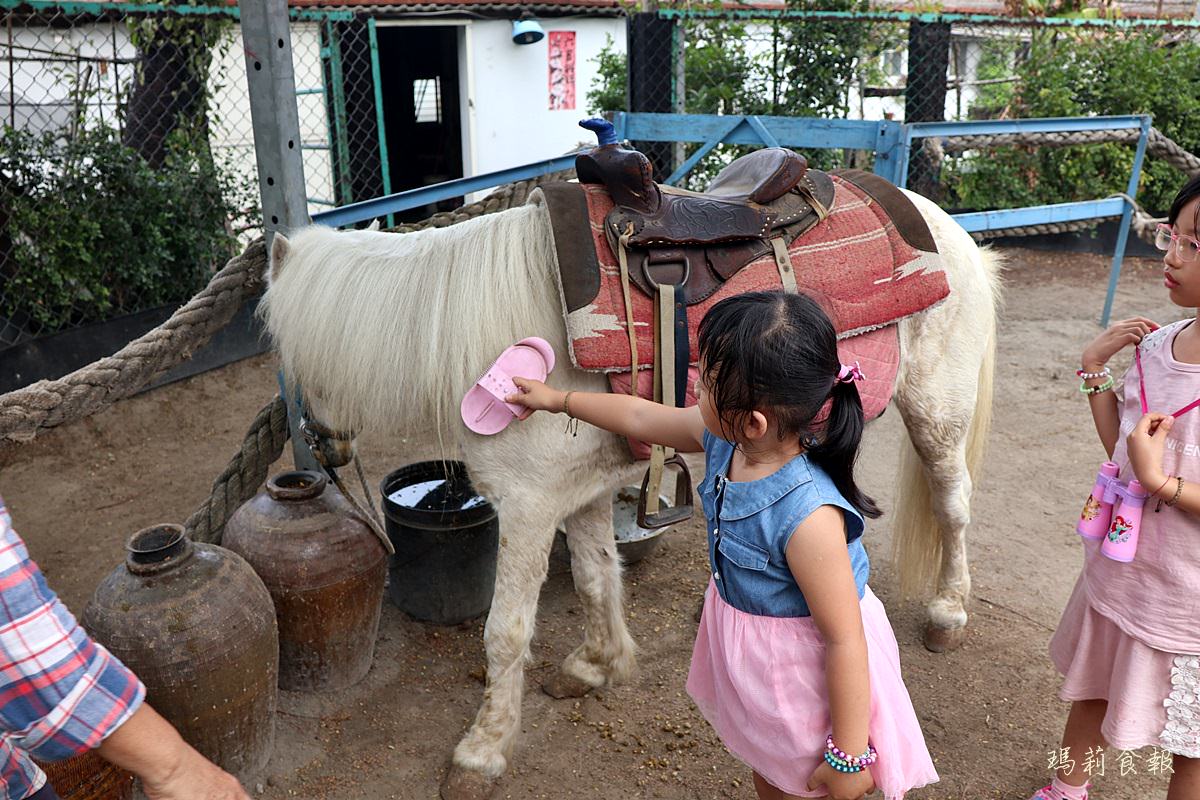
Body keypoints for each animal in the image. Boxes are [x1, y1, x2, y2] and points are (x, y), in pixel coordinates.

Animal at [262, 189, 1003, 800]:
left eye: (292, 363)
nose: (325, 453)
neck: (479, 325)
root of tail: (940, 222)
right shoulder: (575, 493)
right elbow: (595, 576)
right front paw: (595, 666)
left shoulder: (526, 508)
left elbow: (505, 632)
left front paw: (482, 752)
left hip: (936, 414)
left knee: (954, 506)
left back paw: (948, 612)